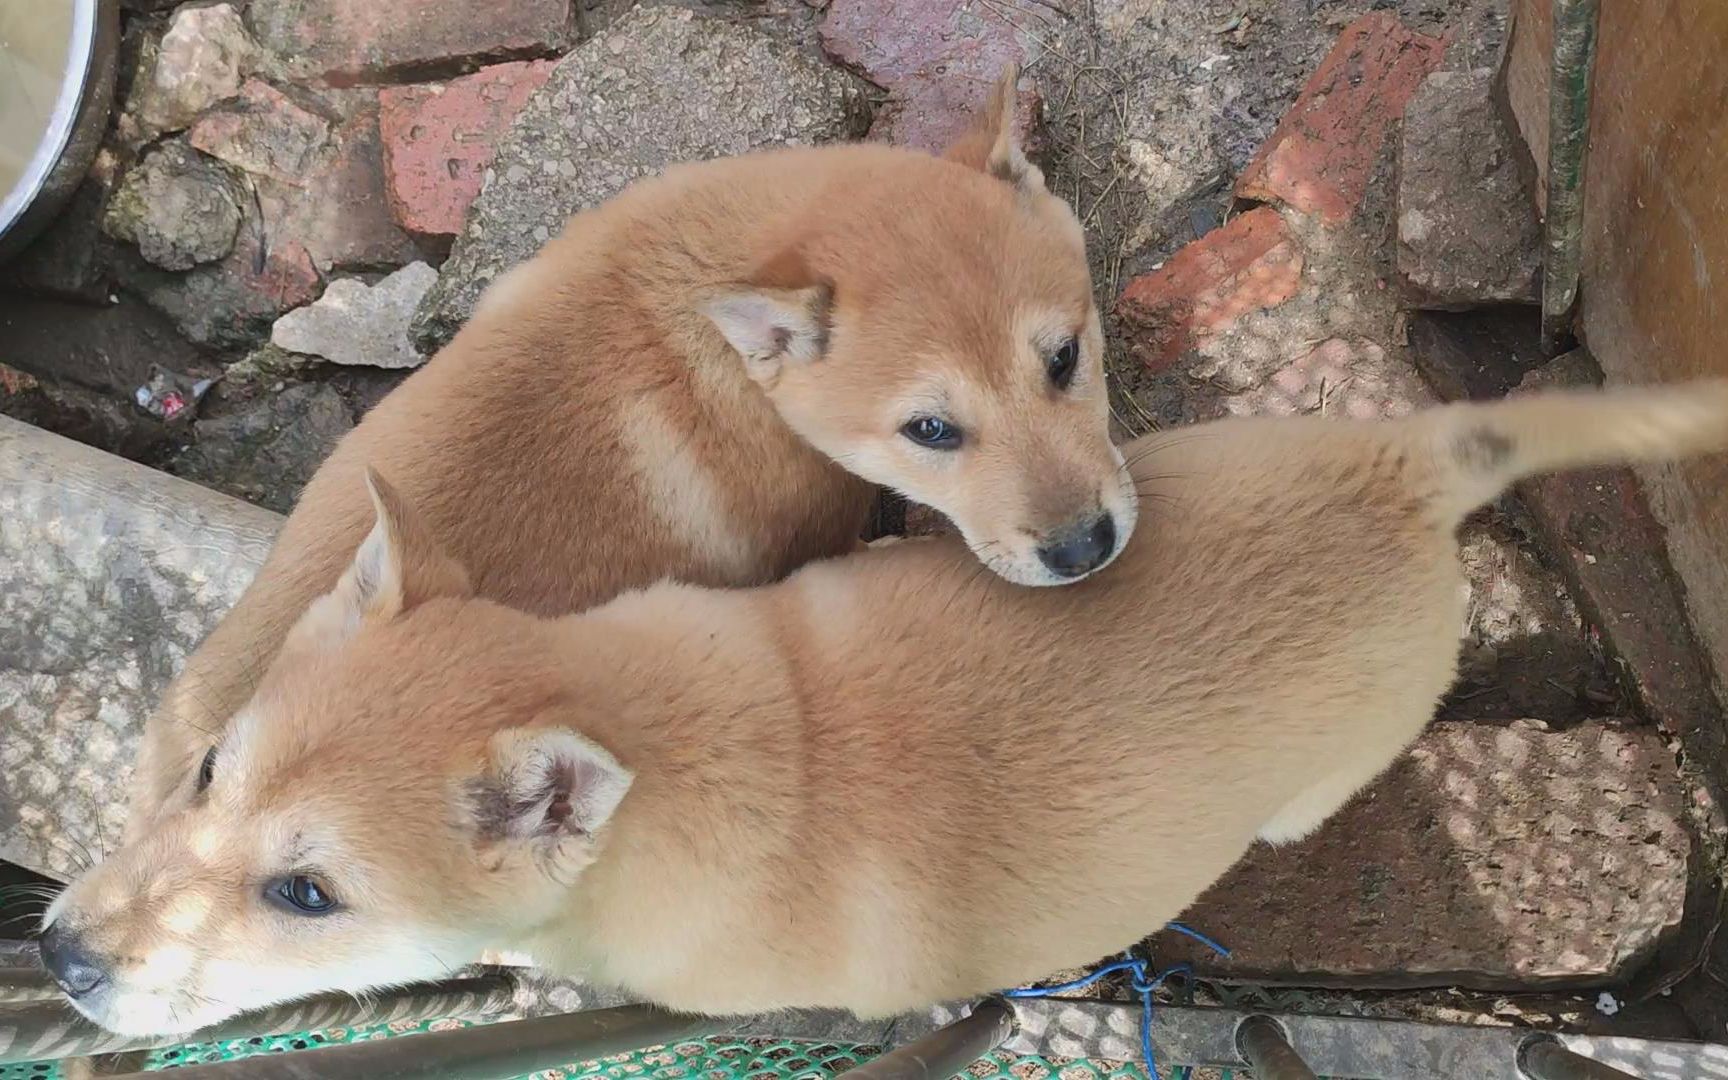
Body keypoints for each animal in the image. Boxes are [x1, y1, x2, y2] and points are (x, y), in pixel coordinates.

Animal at [43, 383, 1728, 1029]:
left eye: (307, 895)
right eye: (202, 771)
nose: (54, 959)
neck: (646, 726)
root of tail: (1403, 463)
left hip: (1356, 736)